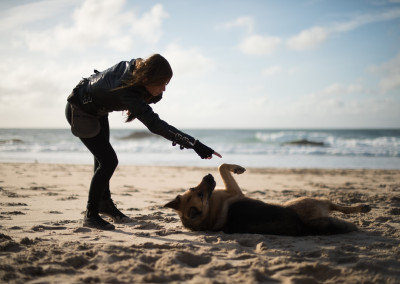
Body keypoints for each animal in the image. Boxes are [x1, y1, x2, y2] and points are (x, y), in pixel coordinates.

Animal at [164, 163, 370, 236]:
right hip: (309, 200)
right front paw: (236, 168)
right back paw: (362, 207)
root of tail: (303, 226)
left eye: (193, 189)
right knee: (336, 205)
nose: (207, 176)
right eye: (199, 194)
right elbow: (222, 166)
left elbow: (221, 166)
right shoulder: (235, 191)